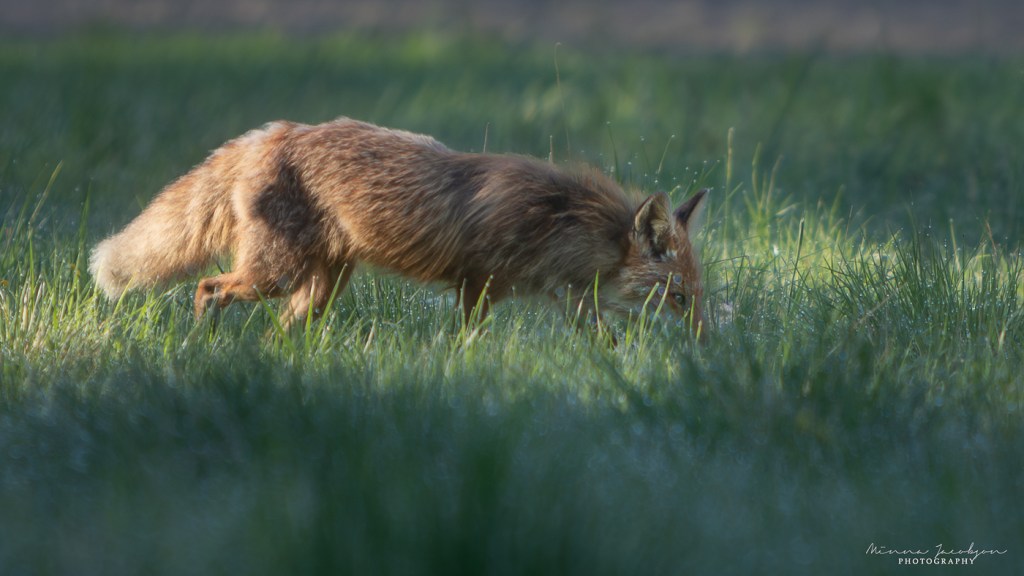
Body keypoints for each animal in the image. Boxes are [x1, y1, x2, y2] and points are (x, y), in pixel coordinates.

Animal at [89, 117, 708, 335]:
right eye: (677, 298)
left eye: (698, 297)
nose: (708, 346)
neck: (558, 221)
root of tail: (272, 132)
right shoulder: (477, 283)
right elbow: (470, 338)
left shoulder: (568, 297)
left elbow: (603, 340)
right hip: (274, 275)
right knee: (206, 287)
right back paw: (199, 347)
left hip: (320, 288)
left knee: (280, 330)